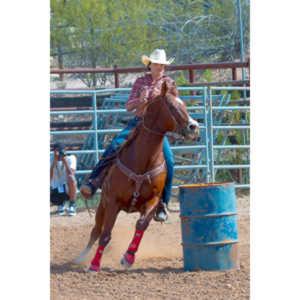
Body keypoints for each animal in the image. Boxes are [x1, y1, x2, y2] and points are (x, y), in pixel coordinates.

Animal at [74, 82, 199, 272]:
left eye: (184, 104)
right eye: (172, 106)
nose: (194, 126)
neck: (142, 160)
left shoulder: (153, 200)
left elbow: (141, 224)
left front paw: (128, 257)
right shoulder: (113, 202)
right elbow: (105, 235)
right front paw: (94, 265)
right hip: (102, 204)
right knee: (96, 230)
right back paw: (82, 258)